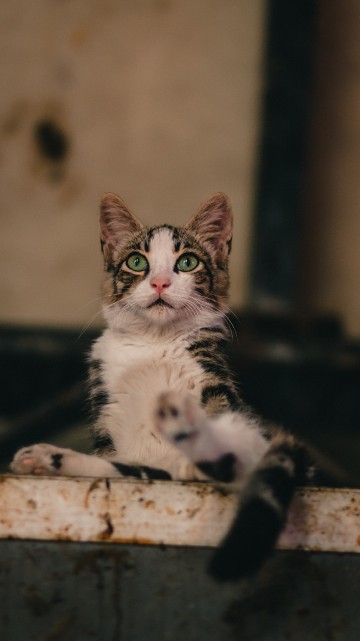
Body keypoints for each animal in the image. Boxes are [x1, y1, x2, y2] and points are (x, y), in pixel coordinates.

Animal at [9, 191, 306, 580]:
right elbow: (120, 467)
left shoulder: (220, 391)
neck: (155, 343)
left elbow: (240, 437)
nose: (160, 282)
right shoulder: (111, 423)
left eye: (187, 262)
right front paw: (47, 458)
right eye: (137, 262)